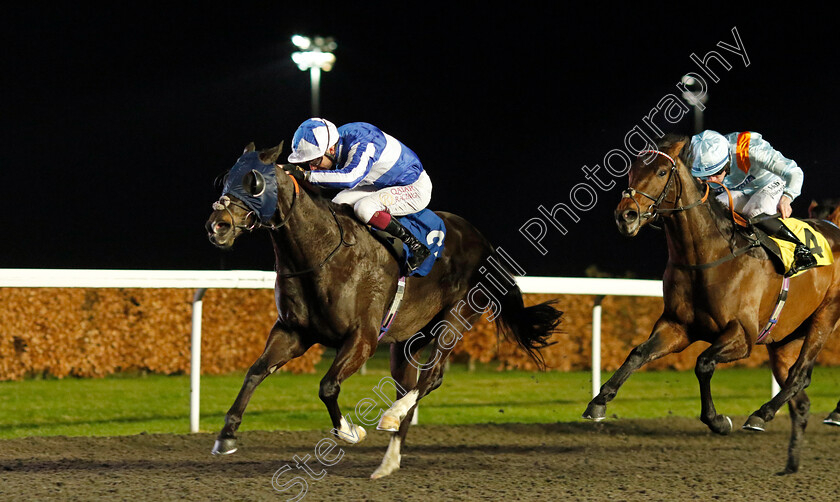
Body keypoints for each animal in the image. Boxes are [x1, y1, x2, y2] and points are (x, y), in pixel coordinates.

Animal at [204, 142, 564, 478]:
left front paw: (349, 431)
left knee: (432, 376)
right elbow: (255, 372)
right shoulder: (293, 332)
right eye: (225, 179)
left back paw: (392, 414)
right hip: (406, 342)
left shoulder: (363, 338)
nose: (217, 226)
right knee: (410, 385)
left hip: (457, 318)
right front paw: (227, 435)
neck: (322, 253)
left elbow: (328, 386)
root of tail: (483, 240)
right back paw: (388, 460)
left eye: (254, 183)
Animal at [584, 134, 840, 474]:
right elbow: (638, 354)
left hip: (825, 316)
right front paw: (598, 402)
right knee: (801, 395)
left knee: (801, 374)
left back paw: (762, 414)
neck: (707, 255)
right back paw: (790, 463)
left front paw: (718, 420)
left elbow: (703, 363)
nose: (626, 215)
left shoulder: (742, 336)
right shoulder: (677, 327)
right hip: (783, 339)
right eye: (632, 170)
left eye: (662, 172)